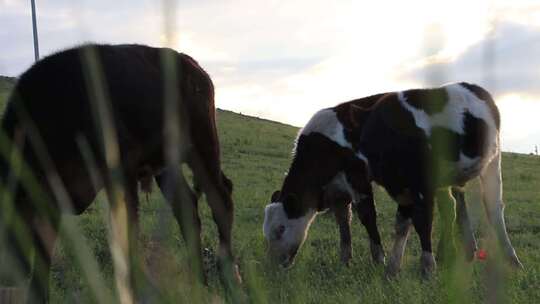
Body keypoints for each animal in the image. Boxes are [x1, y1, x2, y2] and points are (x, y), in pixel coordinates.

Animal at [0, 42, 238, 302]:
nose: (7, 278)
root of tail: (194, 66)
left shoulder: (122, 172)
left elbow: (128, 237)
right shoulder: (49, 197)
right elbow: (43, 254)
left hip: (203, 149)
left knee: (221, 198)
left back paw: (229, 278)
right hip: (168, 167)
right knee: (186, 206)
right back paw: (198, 283)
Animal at [264, 82, 520, 276]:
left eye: (280, 229)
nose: (274, 266)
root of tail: (476, 88)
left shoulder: (362, 180)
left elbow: (373, 217)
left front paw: (383, 260)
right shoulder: (340, 191)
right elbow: (346, 224)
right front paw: (347, 260)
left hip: (492, 162)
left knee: (493, 208)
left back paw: (509, 258)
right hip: (451, 176)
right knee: (454, 205)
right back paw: (461, 251)